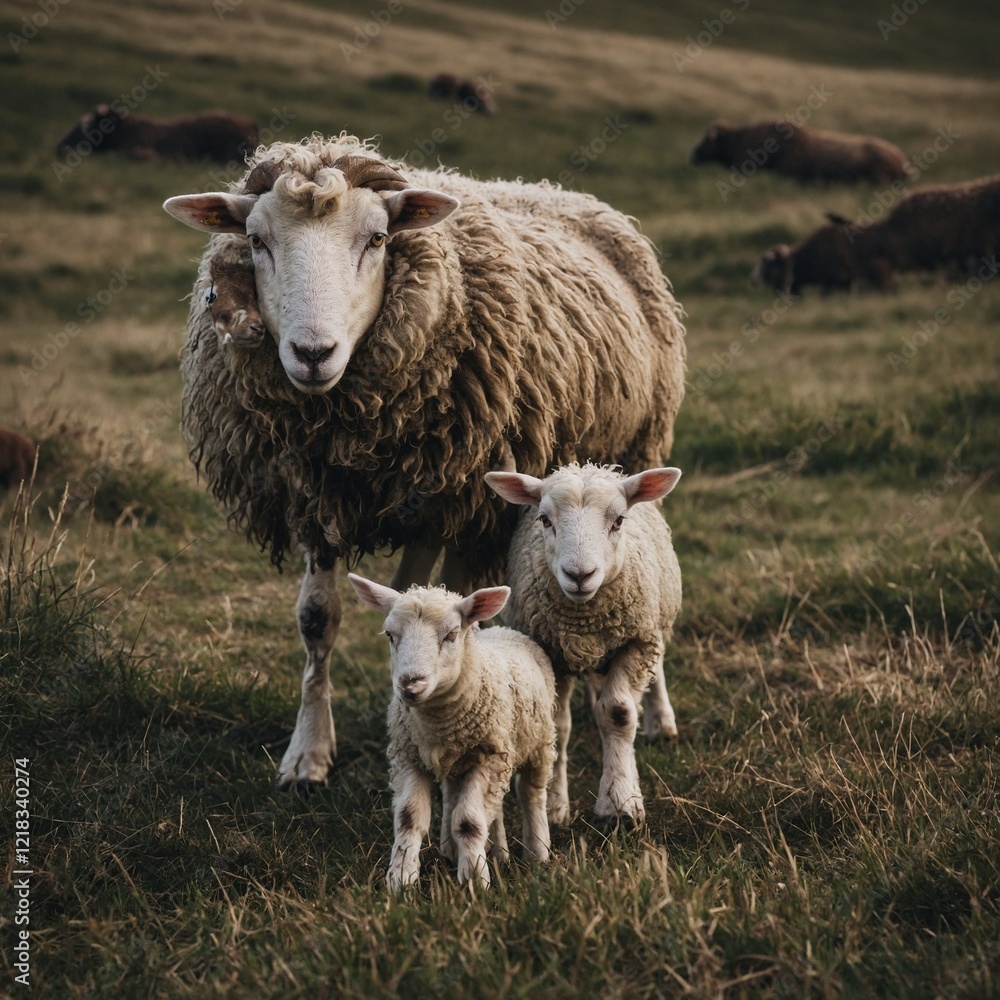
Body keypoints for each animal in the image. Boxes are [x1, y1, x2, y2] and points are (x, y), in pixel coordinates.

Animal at [162, 133, 686, 790]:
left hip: (639, 444)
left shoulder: (469, 503)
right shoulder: (312, 494)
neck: (349, 433)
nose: (313, 353)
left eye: (378, 239)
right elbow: (317, 620)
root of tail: (559, 192)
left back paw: (659, 712)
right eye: (257, 240)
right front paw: (308, 755)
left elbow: (459, 606)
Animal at [348, 574, 556, 890]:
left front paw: (474, 880)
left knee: (531, 794)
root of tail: (504, 629)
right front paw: (400, 880)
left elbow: (468, 821)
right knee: (479, 804)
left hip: (538, 744)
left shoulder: (488, 757)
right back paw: (488, 853)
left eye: (451, 634)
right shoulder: (409, 756)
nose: (411, 685)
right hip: (473, 761)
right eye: (390, 635)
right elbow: (409, 818)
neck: (440, 725)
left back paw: (537, 855)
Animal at [485, 463, 682, 831]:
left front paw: (619, 804)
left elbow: (618, 713)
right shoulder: (551, 652)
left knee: (655, 669)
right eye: (544, 519)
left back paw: (661, 722)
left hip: (653, 623)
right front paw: (553, 806)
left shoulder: (636, 641)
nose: (579, 575)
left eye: (618, 520)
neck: (584, 622)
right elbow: (558, 726)